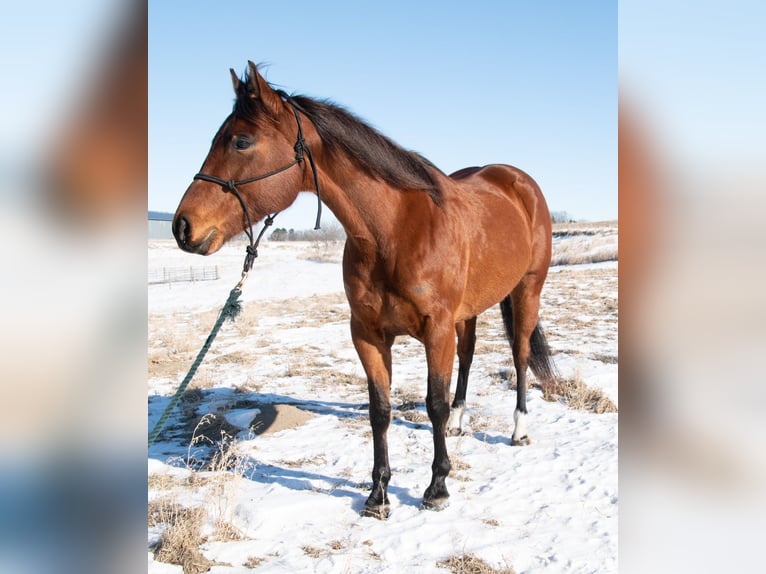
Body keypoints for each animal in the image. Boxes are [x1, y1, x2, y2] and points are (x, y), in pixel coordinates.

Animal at [173, 61, 557, 519]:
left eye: (241, 141)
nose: (182, 226)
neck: (393, 231)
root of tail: (518, 182)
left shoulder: (436, 331)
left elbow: (434, 403)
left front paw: (437, 487)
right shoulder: (369, 334)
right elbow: (380, 410)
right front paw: (378, 494)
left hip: (526, 292)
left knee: (519, 355)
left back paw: (519, 430)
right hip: (470, 310)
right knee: (468, 356)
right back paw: (460, 423)